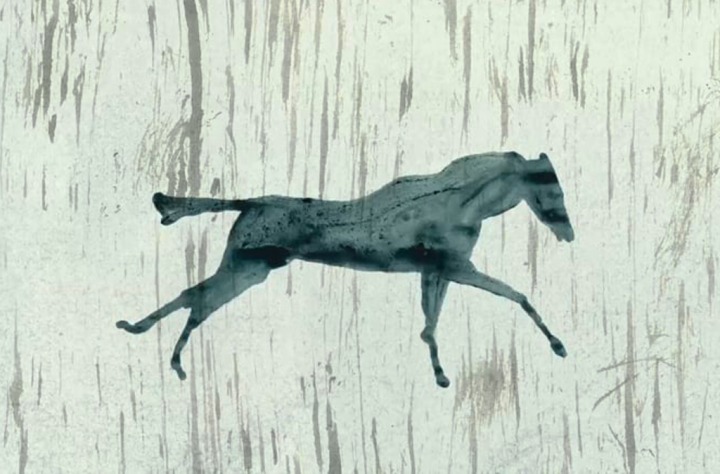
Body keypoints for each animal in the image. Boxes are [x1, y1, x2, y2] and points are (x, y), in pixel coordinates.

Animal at [116, 151, 575, 387]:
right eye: (549, 185)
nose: (568, 233)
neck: (459, 202)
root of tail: (249, 202)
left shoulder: (437, 270)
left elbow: (430, 323)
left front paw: (441, 374)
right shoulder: (459, 267)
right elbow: (518, 296)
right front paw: (558, 345)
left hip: (246, 268)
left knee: (191, 296)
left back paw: (141, 333)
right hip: (246, 269)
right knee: (198, 302)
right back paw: (172, 357)